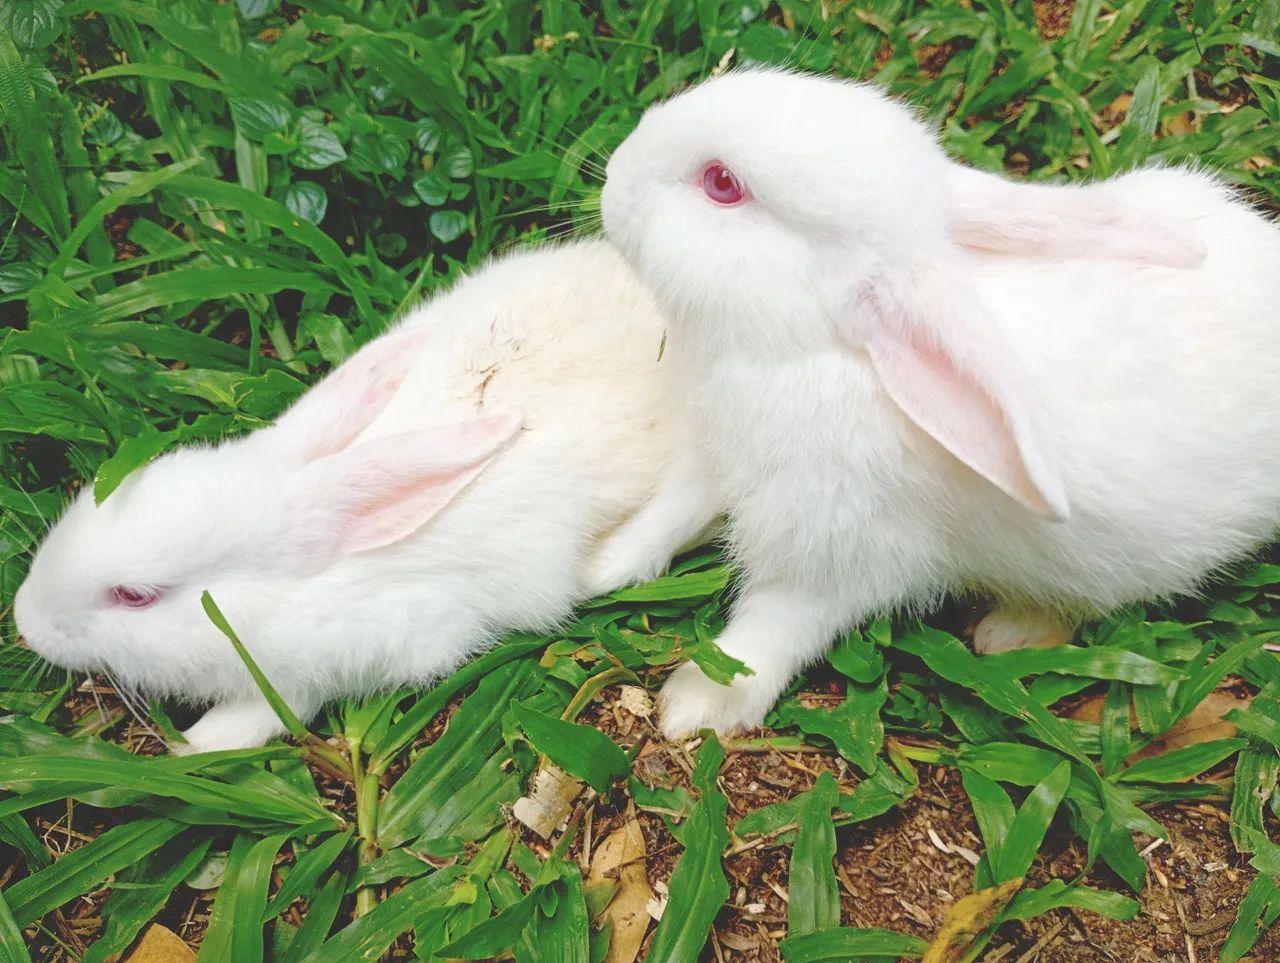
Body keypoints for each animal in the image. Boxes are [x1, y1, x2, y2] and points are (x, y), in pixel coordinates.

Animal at [599, 67, 1280, 739]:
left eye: (722, 184)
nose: (611, 177)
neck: (820, 353)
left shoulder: (842, 553)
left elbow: (772, 627)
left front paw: (698, 704)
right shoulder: (711, 464)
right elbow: (667, 519)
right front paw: (601, 566)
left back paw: (1011, 632)